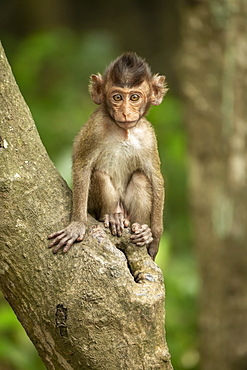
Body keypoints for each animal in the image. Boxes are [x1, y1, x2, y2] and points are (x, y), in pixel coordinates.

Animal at [48, 52, 167, 260]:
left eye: (134, 97)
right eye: (117, 97)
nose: (126, 112)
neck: (123, 131)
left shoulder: (148, 137)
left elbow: (155, 178)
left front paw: (155, 239)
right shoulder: (95, 128)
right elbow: (82, 168)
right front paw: (77, 224)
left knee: (140, 177)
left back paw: (142, 231)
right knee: (99, 176)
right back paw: (112, 217)